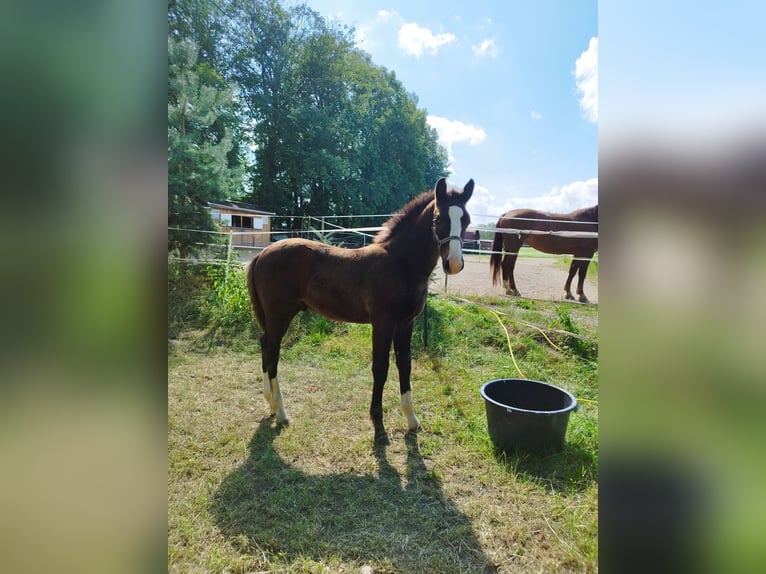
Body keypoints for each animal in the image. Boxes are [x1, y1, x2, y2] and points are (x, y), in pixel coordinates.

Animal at [246, 179, 474, 446]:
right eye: (438, 220)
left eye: (466, 220)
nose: (454, 264)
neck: (399, 264)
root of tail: (262, 254)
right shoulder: (383, 323)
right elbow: (381, 368)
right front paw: (379, 426)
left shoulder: (406, 323)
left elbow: (405, 364)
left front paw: (412, 420)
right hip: (279, 315)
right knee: (272, 353)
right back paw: (281, 412)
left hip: (273, 317)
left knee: (264, 346)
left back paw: (271, 404)